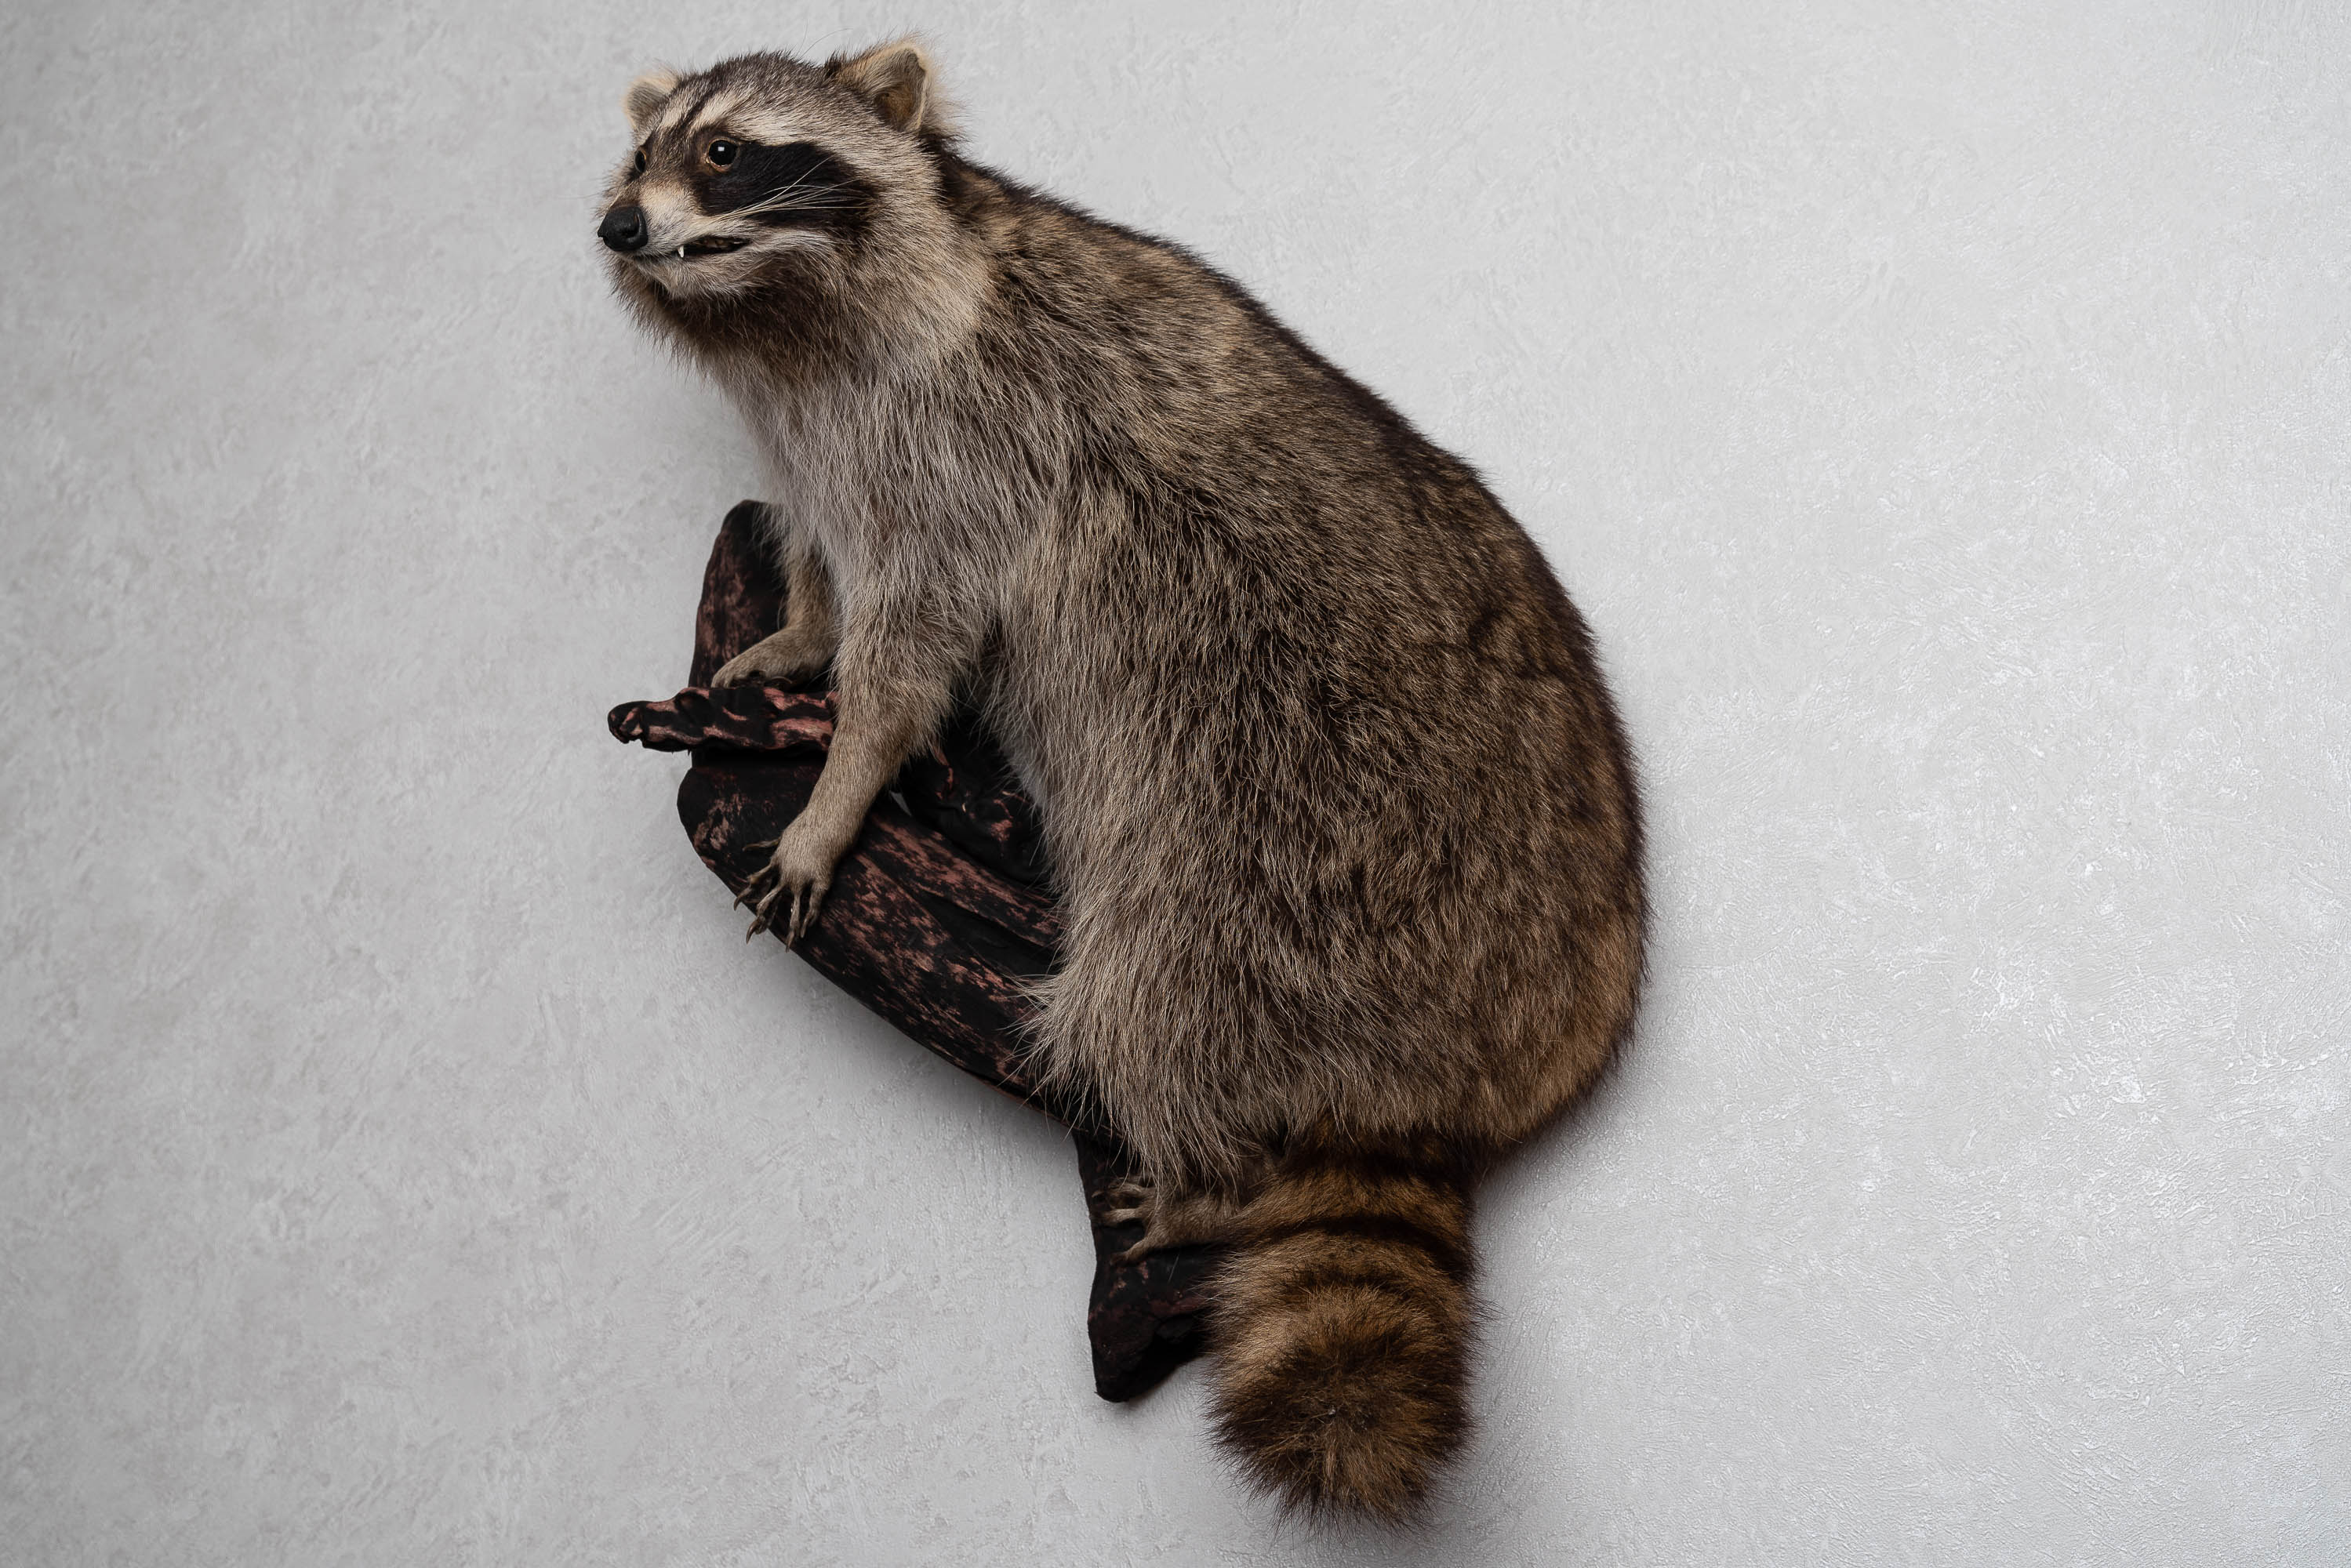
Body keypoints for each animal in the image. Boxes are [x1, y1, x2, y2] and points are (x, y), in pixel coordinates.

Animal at [599, 41, 1645, 1520]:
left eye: (727, 154)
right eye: (641, 154)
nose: (619, 226)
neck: (780, 325)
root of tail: (1435, 1089)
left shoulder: (958, 449)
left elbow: (915, 641)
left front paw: (836, 792)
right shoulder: (816, 448)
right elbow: (820, 560)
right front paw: (795, 635)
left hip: (1281, 850)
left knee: (1150, 994)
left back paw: (1210, 1178)